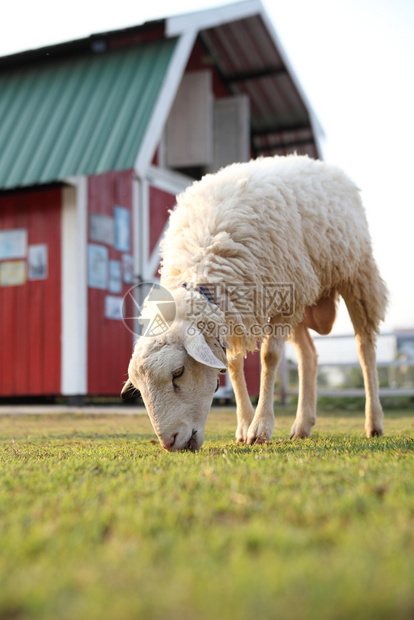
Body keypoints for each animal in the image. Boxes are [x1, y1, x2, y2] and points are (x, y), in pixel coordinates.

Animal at [122, 156, 388, 450]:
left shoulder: (281, 300)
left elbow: (269, 357)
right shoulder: (235, 313)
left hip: (356, 275)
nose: (169, 442)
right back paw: (302, 425)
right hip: (302, 294)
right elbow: (233, 365)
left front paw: (260, 427)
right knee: (309, 355)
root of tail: (316, 162)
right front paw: (243, 425)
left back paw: (373, 422)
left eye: (178, 372)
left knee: (365, 348)